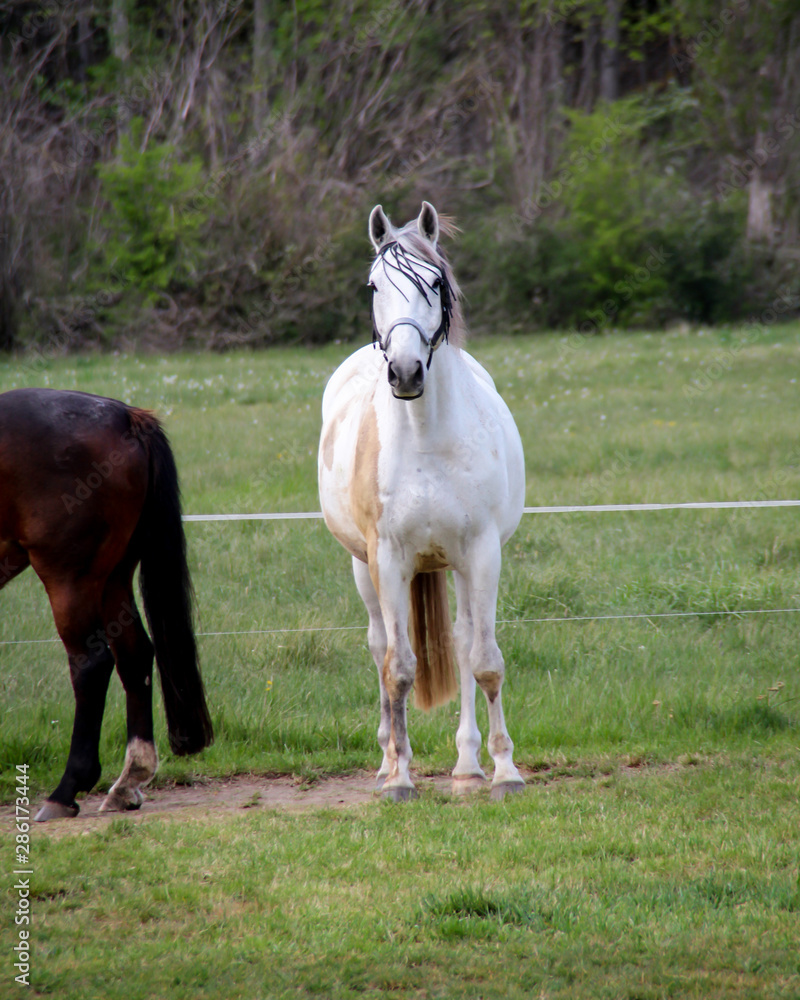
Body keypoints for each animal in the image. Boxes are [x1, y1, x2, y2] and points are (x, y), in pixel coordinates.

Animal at [0, 388, 213, 820]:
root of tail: (123, 417)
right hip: (112, 578)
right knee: (135, 654)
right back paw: (129, 779)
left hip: (70, 578)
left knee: (92, 664)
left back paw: (67, 789)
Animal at [318, 202, 526, 801]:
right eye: (373, 286)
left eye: (434, 282)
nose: (405, 371)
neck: (426, 438)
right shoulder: (387, 558)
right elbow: (399, 668)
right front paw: (400, 777)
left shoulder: (482, 553)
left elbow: (484, 660)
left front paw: (504, 770)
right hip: (364, 569)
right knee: (379, 645)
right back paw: (388, 758)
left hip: (454, 565)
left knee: (461, 641)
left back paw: (468, 762)